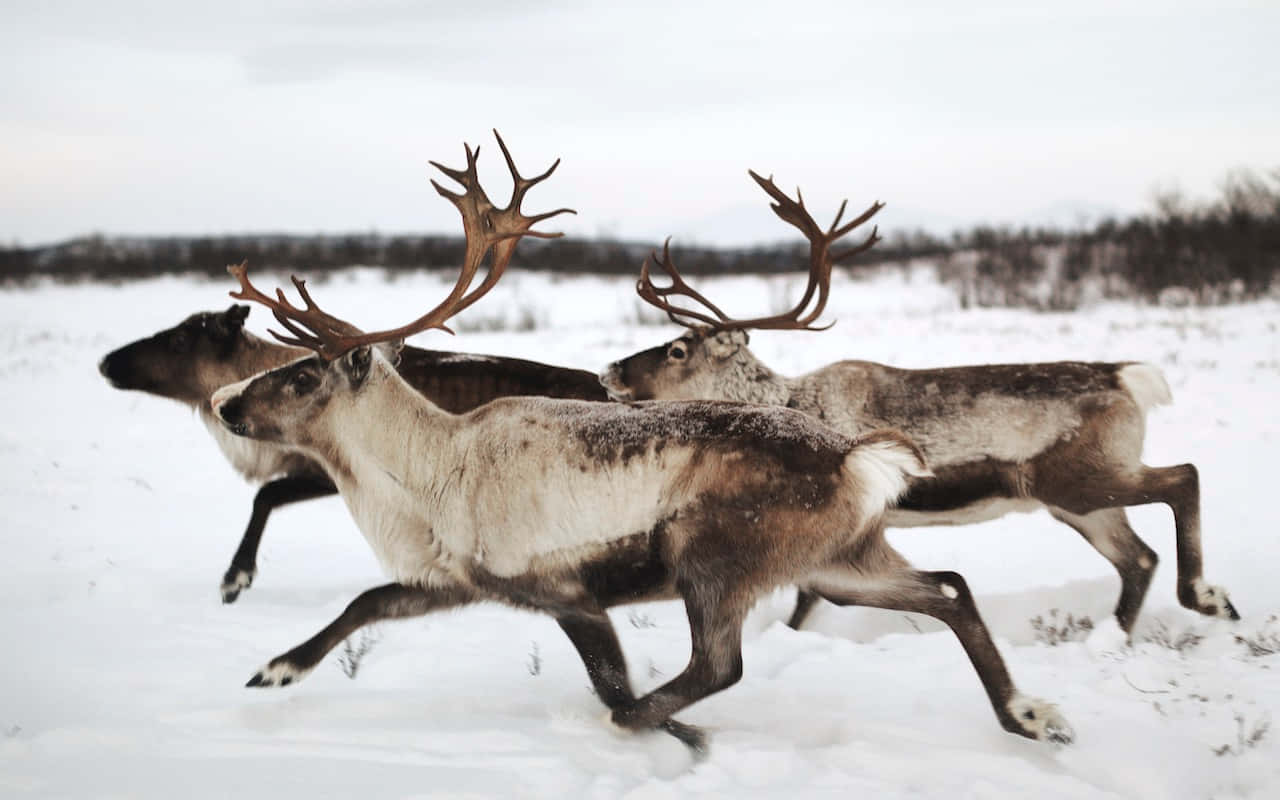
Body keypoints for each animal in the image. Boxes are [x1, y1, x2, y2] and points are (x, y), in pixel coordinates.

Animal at [206, 131, 1074, 752]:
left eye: (301, 375)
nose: (222, 401)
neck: (428, 474)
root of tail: (856, 456)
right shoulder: (457, 581)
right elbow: (367, 601)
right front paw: (275, 670)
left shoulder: (566, 590)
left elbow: (612, 684)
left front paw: (677, 735)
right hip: (840, 560)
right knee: (949, 588)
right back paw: (1030, 715)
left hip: (713, 560)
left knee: (719, 663)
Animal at [599, 171, 1239, 636]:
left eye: (678, 349)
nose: (609, 372)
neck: (790, 400)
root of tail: (1126, 378)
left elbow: (809, 597)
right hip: (1075, 502)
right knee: (1138, 559)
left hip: (1082, 478)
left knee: (1183, 477)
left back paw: (1206, 597)